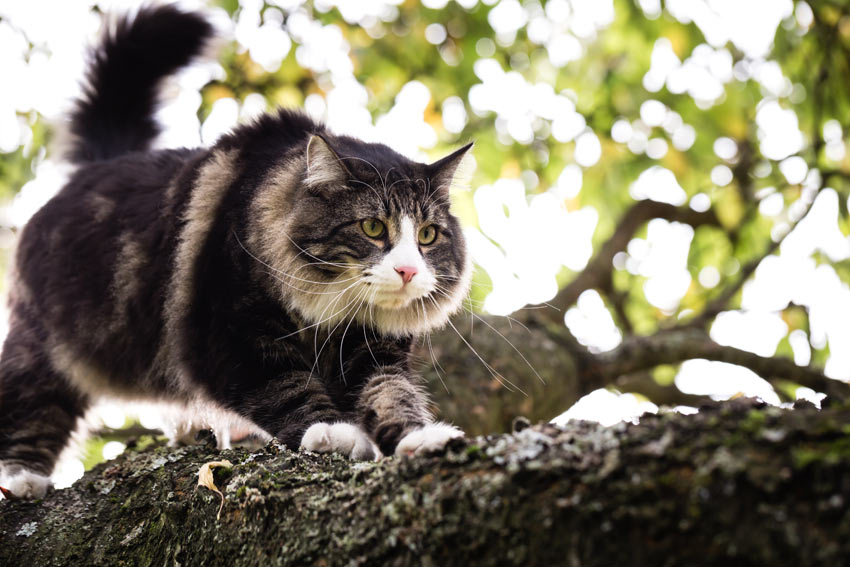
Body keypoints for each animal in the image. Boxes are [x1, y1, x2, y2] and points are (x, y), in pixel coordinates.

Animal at [0, 6, 470, 500]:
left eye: (428, 236)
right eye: (374, 228)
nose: (407, 270)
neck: (328, 312)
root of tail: (99, 164)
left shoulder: (371, 350)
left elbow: (391, 395)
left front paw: (421, 438)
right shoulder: (226, 331)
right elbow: (285, 387)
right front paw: (331, 431)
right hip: (42, 350)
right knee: (27, 408)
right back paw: (23, 480)